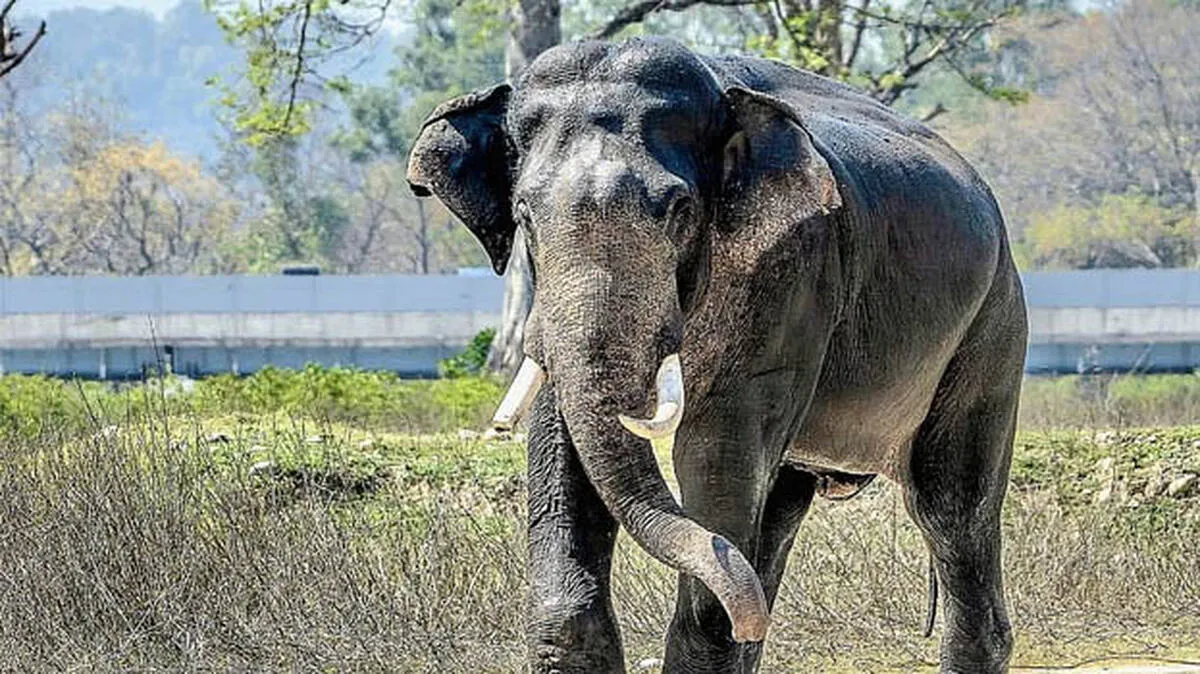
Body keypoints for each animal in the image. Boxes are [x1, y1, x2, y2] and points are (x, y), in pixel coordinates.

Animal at [407, 36, 1027, 673]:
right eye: (524, 216)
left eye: (680, 210)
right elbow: (564, 445)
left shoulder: (792, 272)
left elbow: (715, 449)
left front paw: (725, 612)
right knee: (778, 515)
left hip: (991, 329)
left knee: (950, 503)